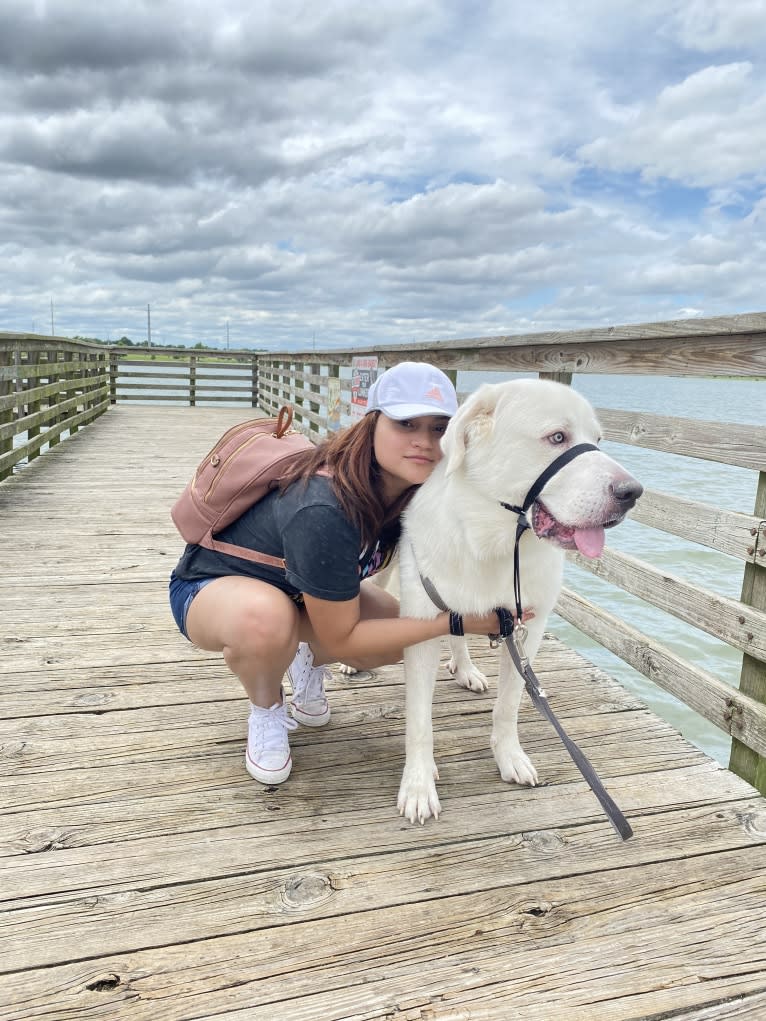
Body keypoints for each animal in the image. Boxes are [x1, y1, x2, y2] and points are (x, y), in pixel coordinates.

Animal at [398, 379, 645, 824]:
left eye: (598, 440)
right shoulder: (420, 629)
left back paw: (466, 669)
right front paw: (419, 785)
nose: (632, 492)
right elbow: (420, 721)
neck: (493, 542)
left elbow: (510, 704)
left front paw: (509, 756)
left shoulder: (528, 627)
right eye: (557, 437)